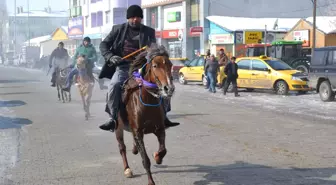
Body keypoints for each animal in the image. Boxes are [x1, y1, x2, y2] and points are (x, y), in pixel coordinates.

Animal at [115, 43, 175, 185]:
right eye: (155, 66)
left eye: (170, 64)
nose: (169, 88)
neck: (147, 100)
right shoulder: (138, 132)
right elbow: (145, 160)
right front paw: (151, 181)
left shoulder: (159, 128)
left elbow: (163, 150)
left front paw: (157, 157)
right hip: (118, 127)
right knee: (122, 147)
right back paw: (127, 169)